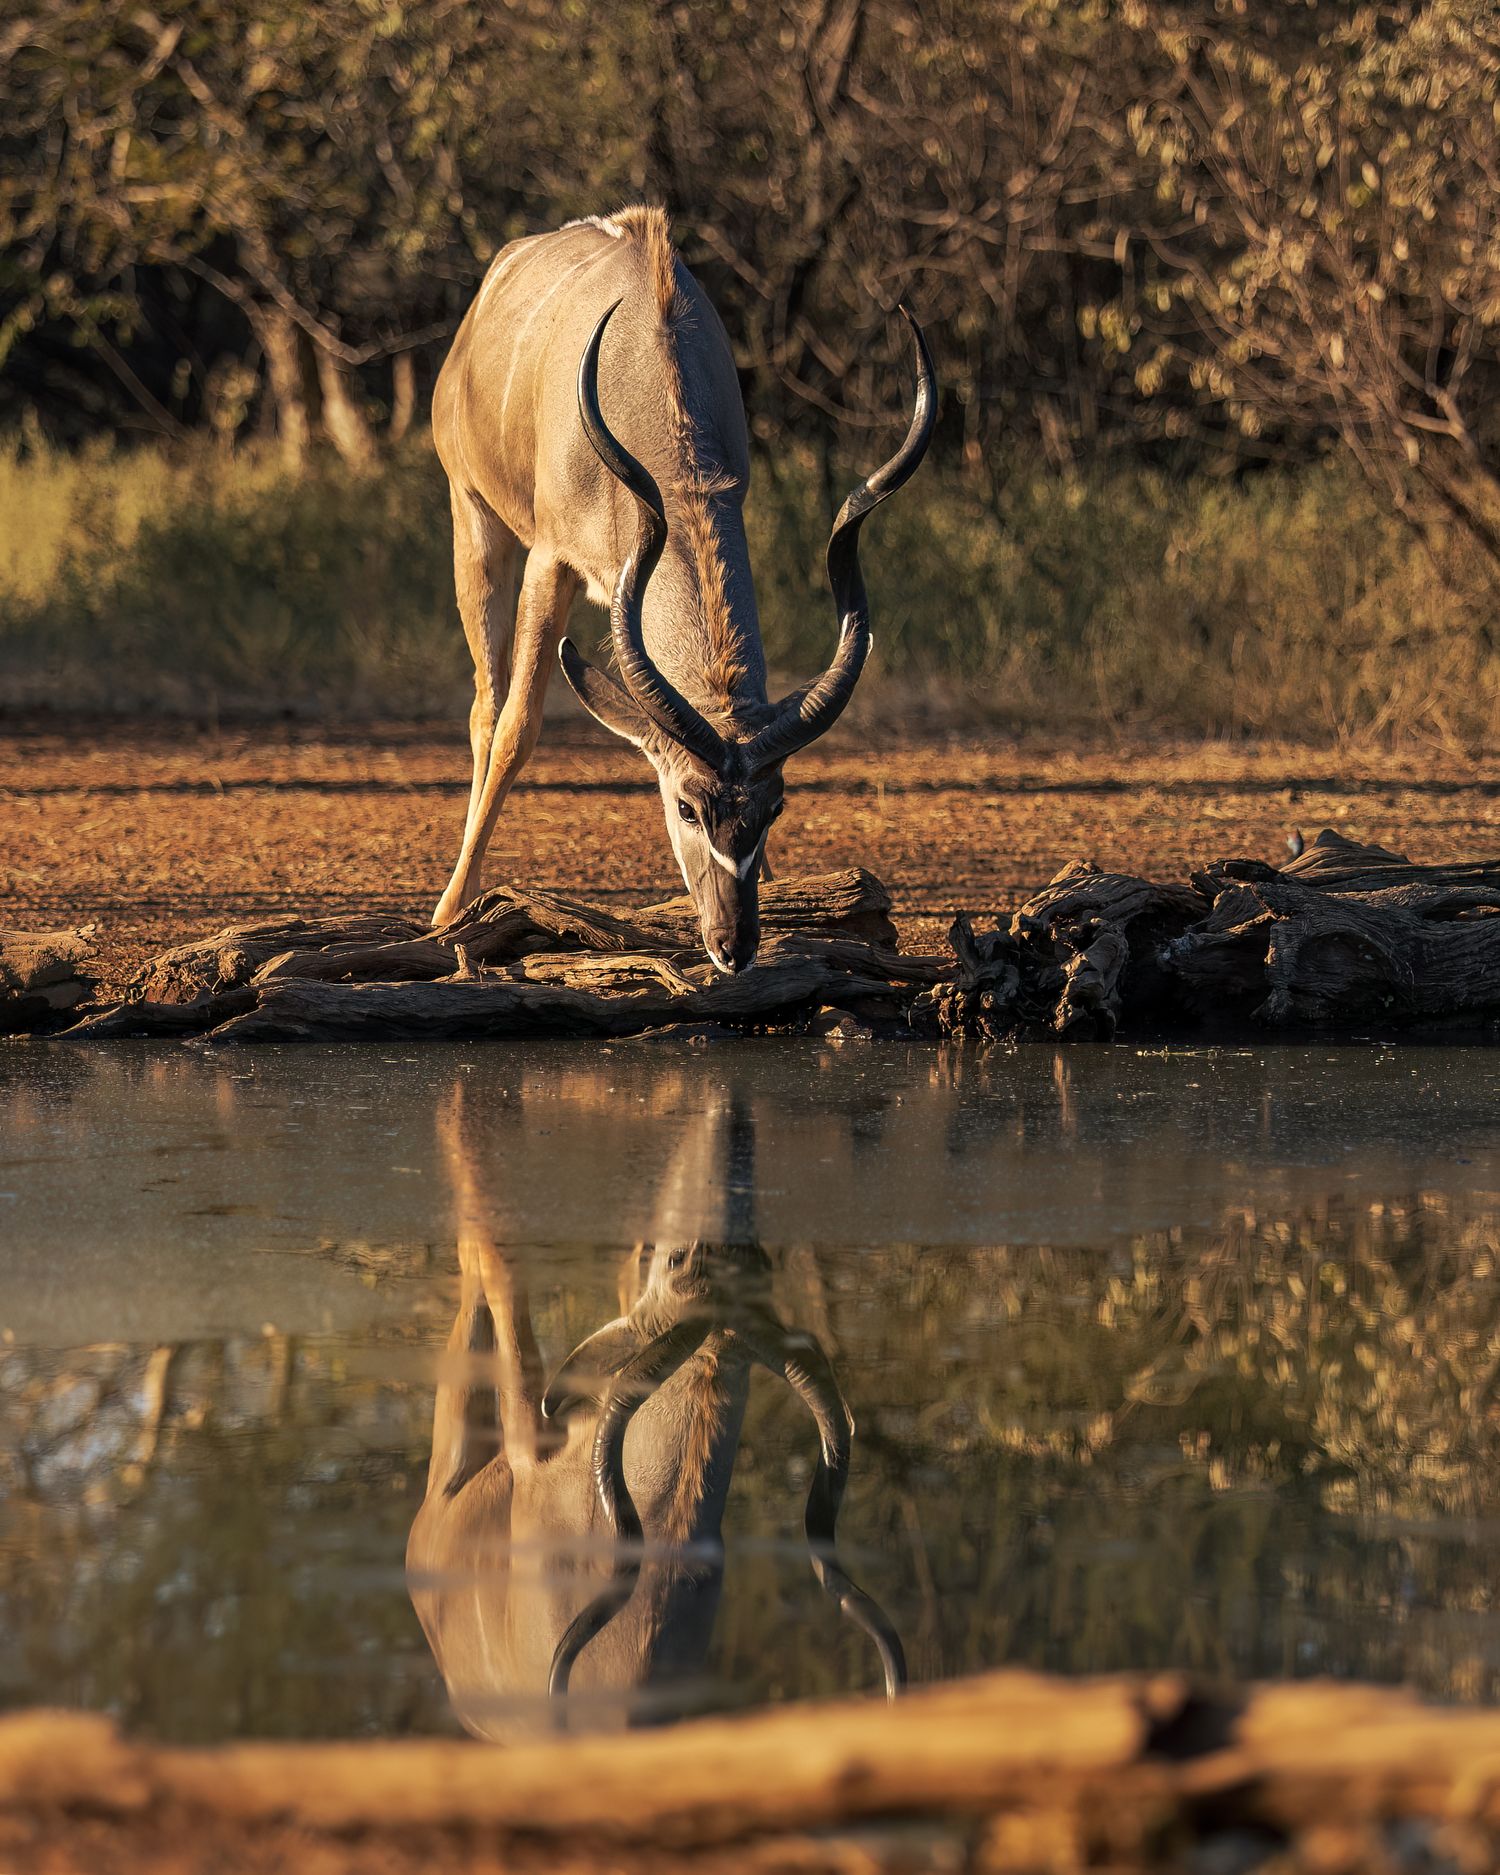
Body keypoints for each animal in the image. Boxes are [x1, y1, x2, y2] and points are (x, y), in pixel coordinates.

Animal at [429, 205, 935, 971]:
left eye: (774, 808)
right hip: (475, 516)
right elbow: (521, 723)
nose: (733, 945)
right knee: (488, 704)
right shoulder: (551, 559)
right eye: (686, 806)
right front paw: (452, 912)